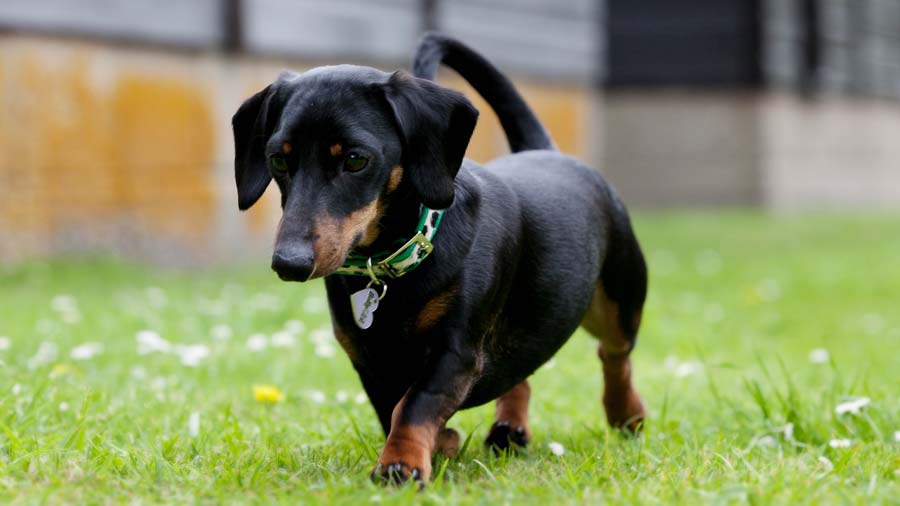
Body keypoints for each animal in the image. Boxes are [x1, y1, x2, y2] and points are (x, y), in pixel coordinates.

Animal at [234, 33, 648, 484]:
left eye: (356, 159)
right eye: (278, 159)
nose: (289, 263)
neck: (394, 264)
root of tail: (545, 150)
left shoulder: (457, 351)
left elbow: (415, 403)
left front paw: (401, 464)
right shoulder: (368, 359)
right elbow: (391, 407)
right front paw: (440, 443)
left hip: (619, 298)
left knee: (615, 353)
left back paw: (626, 414)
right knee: (521, 371)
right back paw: (509, 428)